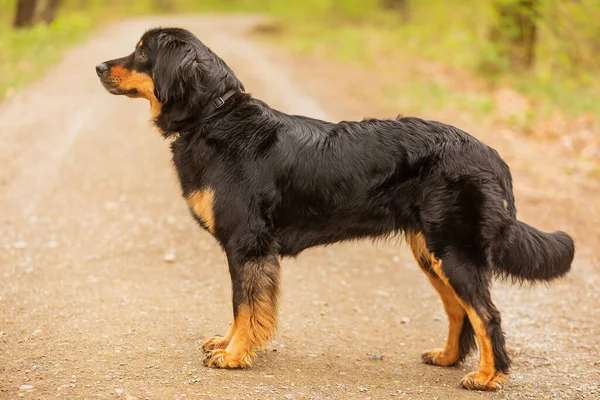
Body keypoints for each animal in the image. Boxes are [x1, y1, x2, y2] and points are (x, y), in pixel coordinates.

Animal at [96, 28, 576, 390]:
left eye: (143, 52)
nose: (99, 67)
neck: (213, 118)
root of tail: (491, 155)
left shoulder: (248, 242)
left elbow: (245, 303)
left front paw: (235, 354)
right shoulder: (245, 248)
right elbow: (240, 305)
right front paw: (228, 344)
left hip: (454, 249)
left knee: (486, 314)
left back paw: (487, 378)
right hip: (430, 251)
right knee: (460, 310)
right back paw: (446, 357)